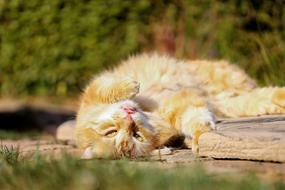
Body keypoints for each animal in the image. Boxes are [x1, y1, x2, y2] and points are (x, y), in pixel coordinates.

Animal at [75, 53, 284, 159]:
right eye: (137, 136)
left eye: (110, 132)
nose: (129, 116)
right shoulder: (180, 103)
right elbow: (194, 117)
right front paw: (200, 136)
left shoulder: (92, 92)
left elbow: (108, 88)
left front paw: (131, 85)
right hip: (234, 101)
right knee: (262, 97)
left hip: (222, 77)